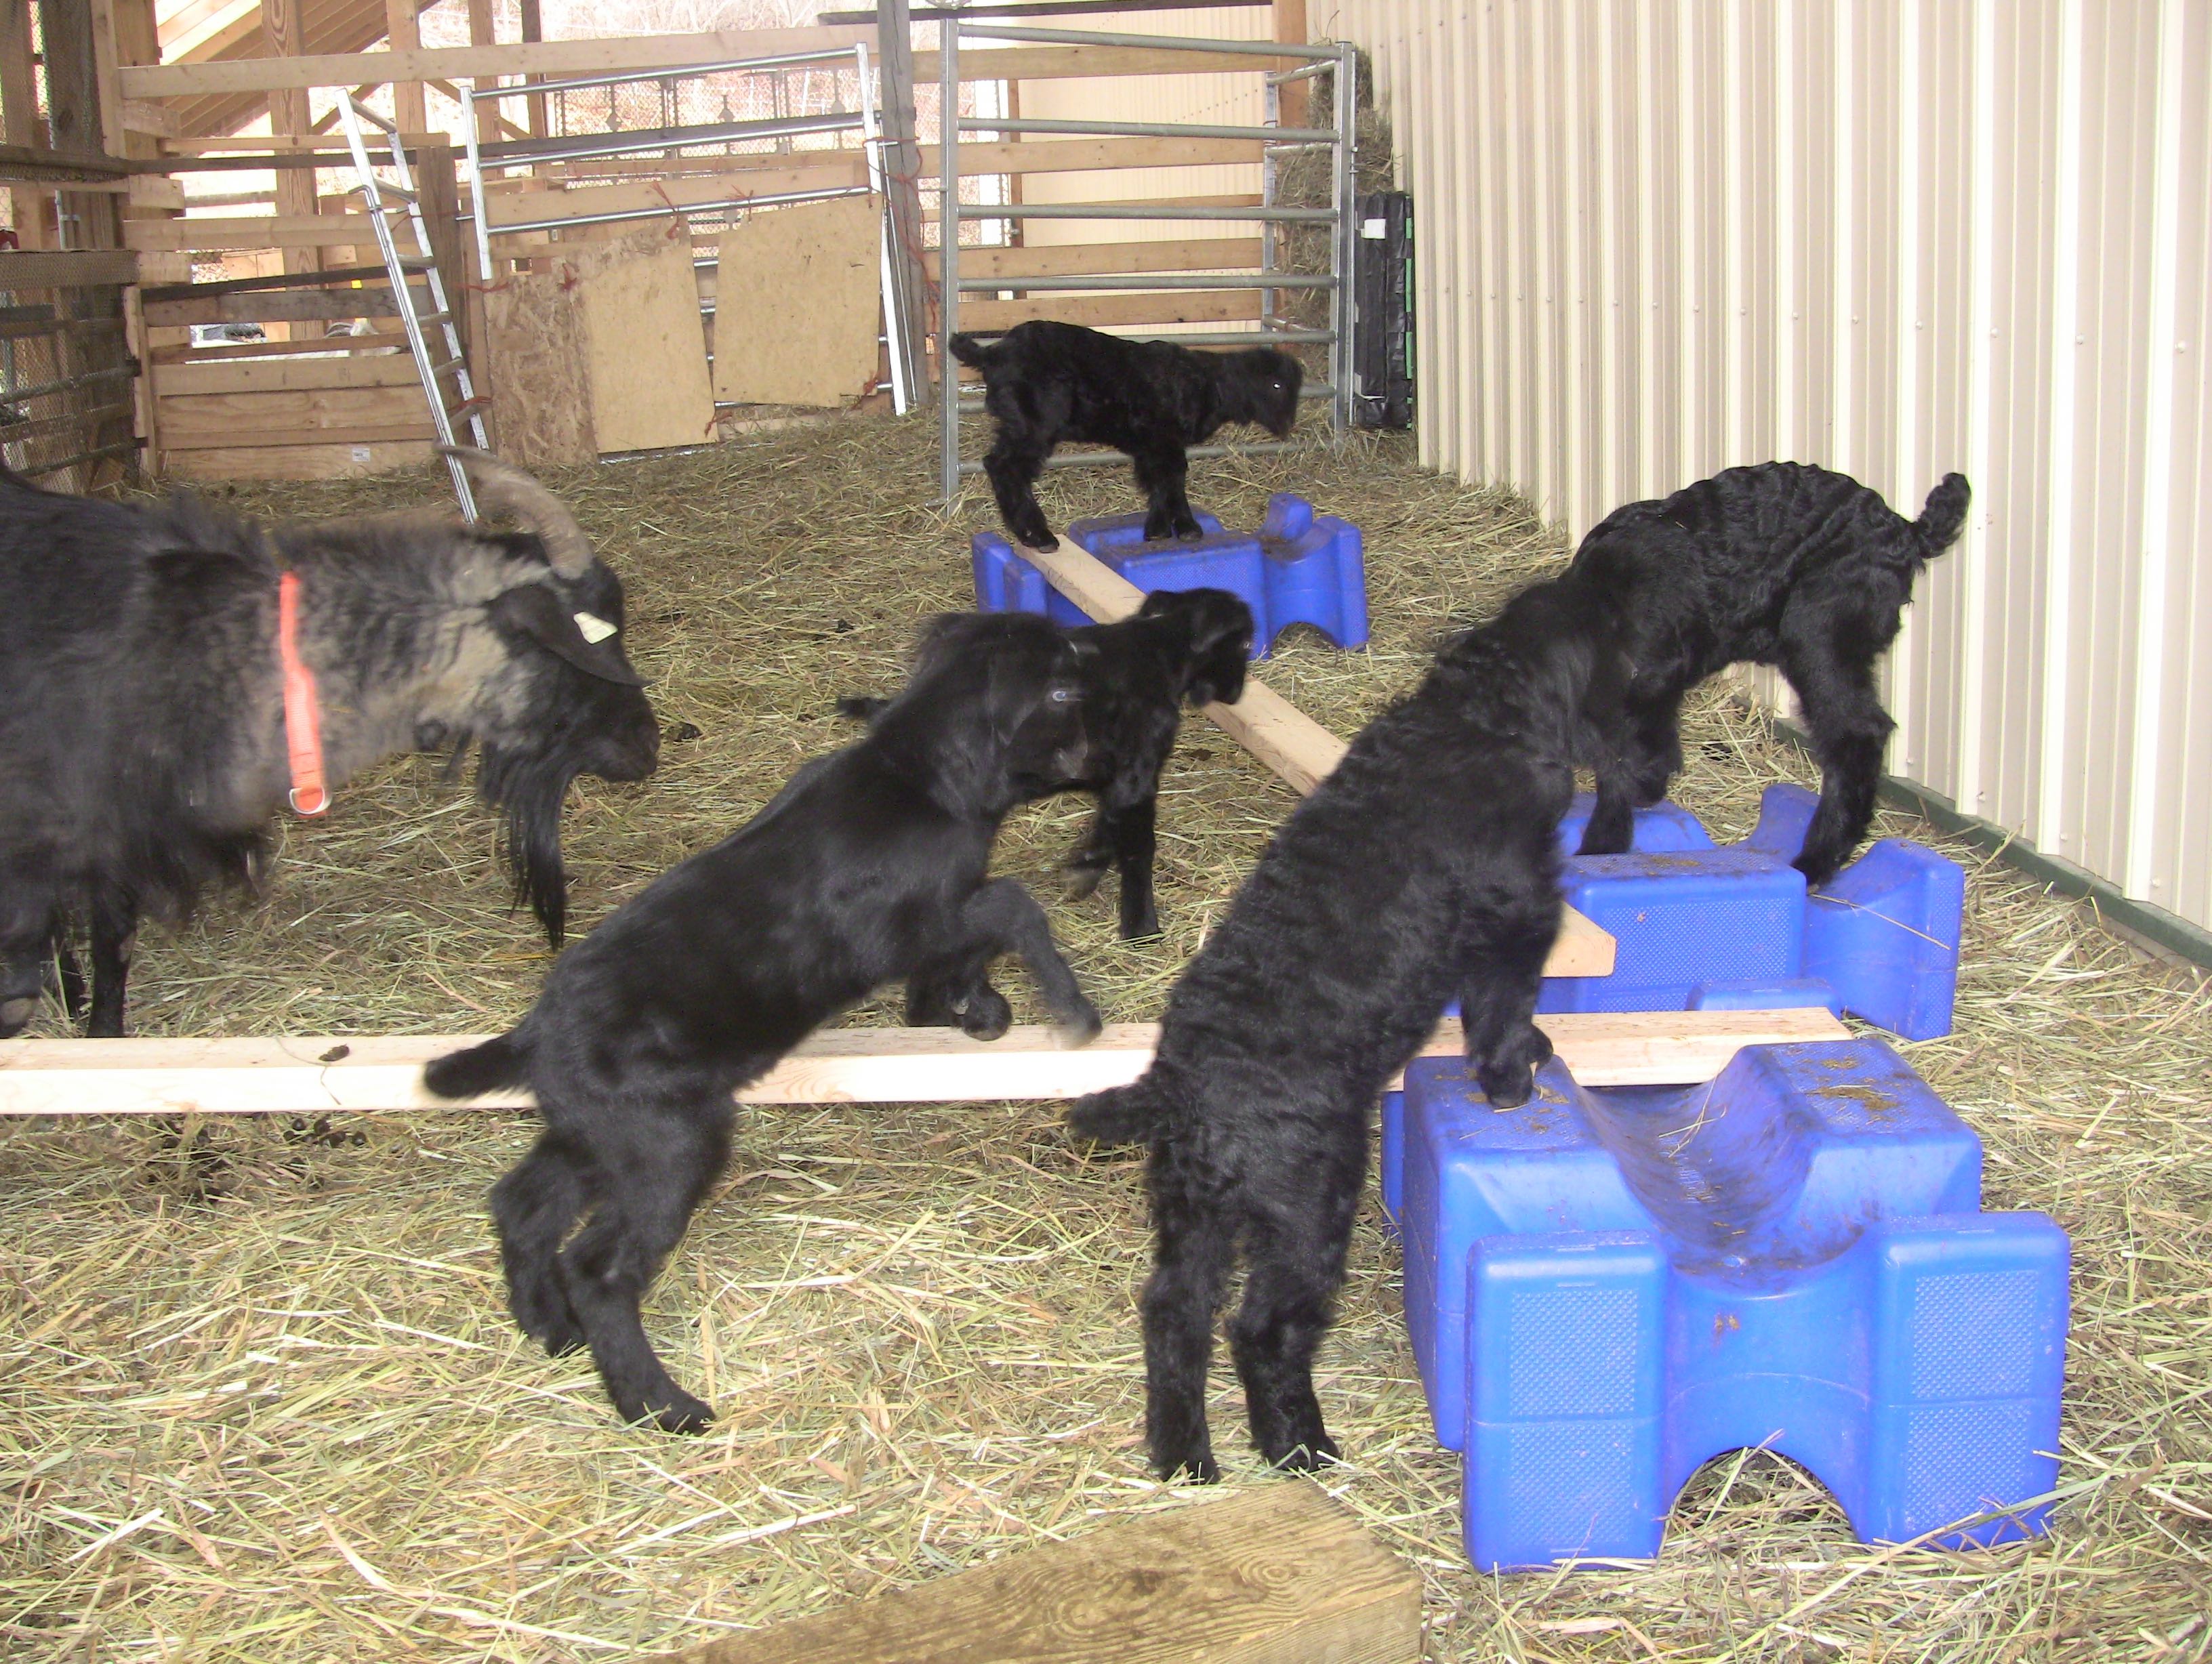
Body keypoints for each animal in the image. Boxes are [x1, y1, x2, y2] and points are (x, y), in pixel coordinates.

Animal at [424, 611, 1105, 1434]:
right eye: (1063, 690)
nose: (1108, 753)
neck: (921, 777)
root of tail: (534, 1035)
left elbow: (972, 946)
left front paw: (979, 1011)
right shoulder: (909, 925)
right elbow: (1009, 904)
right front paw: (1068, 1010)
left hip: (601, 1130)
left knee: (523, 1203)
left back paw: (549, 1327)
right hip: (668, 1140)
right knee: (600, 1267)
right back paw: (660, 1403)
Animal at [840, 587, 1254, 954]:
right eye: (1247, 644)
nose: (1237, 695)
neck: (1157, 651)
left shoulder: (1115, 778)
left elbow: (1109, 824)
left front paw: (1083, 869)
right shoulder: (1138, 771)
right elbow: (1138, 846)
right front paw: (1141, 929)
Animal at [949, 320, 1302, 551]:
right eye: (1275, 385)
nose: (1287, 425)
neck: (1205, 384)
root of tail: (993, 354)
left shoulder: (1151, 444)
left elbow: (1158, 482)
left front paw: (1158, 529)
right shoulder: (1164, 438)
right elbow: (1173, 480)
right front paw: (1187, 528)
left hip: (1019, 424)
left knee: (998, 464)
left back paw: (1027, 533)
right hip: (1034, 423)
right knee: (1006, 467)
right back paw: (1039, 535)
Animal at [1068, 576, 1614, 1483]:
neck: (1477, 712)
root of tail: (1181, 1085)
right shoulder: (1518, 907)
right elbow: (1504, 1005)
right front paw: (1516, 1077)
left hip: (1192, 1206)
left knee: (1173, 1310)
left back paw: (1185, 1456)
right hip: (1304, 1203)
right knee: (1262, 1328)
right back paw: (1299, 1445)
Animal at [1569, 463, 1971, 885]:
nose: (1649, 793)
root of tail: (1907, 531)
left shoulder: (1654, 677)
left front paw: (1602, 842)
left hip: (1819, 633)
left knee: (1859, 732)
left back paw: (1817, 860)